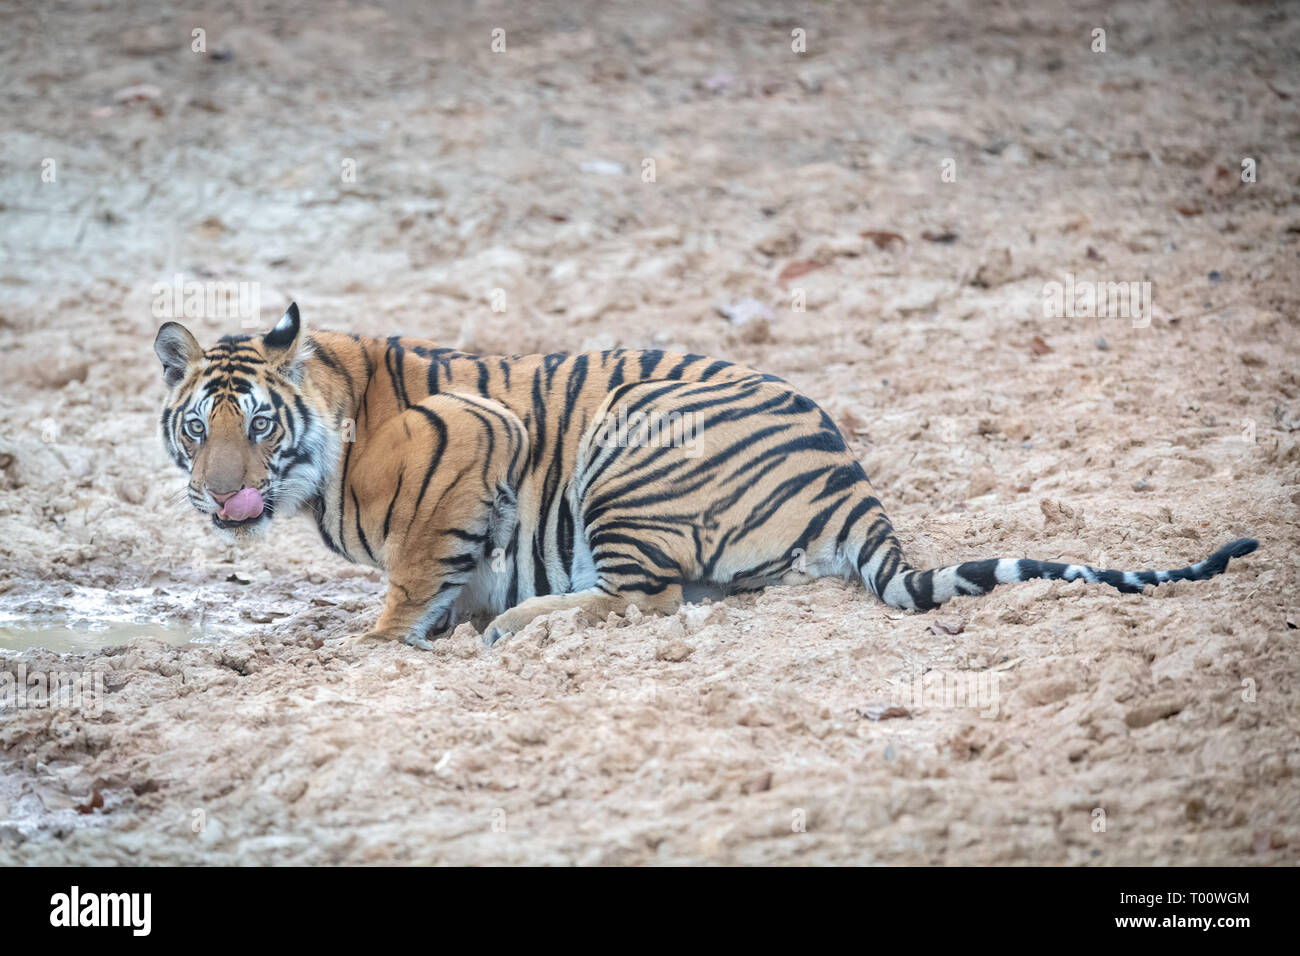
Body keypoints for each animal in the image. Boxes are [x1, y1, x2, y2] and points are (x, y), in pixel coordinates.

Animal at [154, 303, 1258, 649]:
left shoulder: (470, 436)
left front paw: (376, 642)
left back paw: (523, 625)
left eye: (258, 424)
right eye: (196, 431)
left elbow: (416, 574)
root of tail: (850, 477)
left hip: (626, 453)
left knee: (644, 598)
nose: (221, 494)